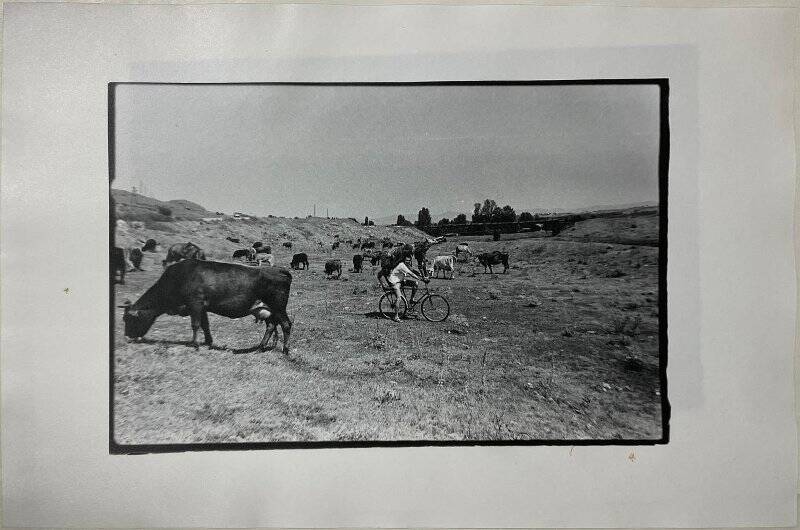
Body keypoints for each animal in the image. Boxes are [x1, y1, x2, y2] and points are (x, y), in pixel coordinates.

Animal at [119, 258, 294, 350]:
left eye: (129, 319)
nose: (128, 336)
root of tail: (278, 269)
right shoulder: (202, 307)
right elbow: (205, 324)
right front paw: (208, 342)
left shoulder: (195, 303)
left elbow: (195, 324)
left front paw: (195, 344)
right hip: (267, 309)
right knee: (271, 326)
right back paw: (260, 347)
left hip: (278, 307)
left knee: (286, 324)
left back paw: (285, 350)